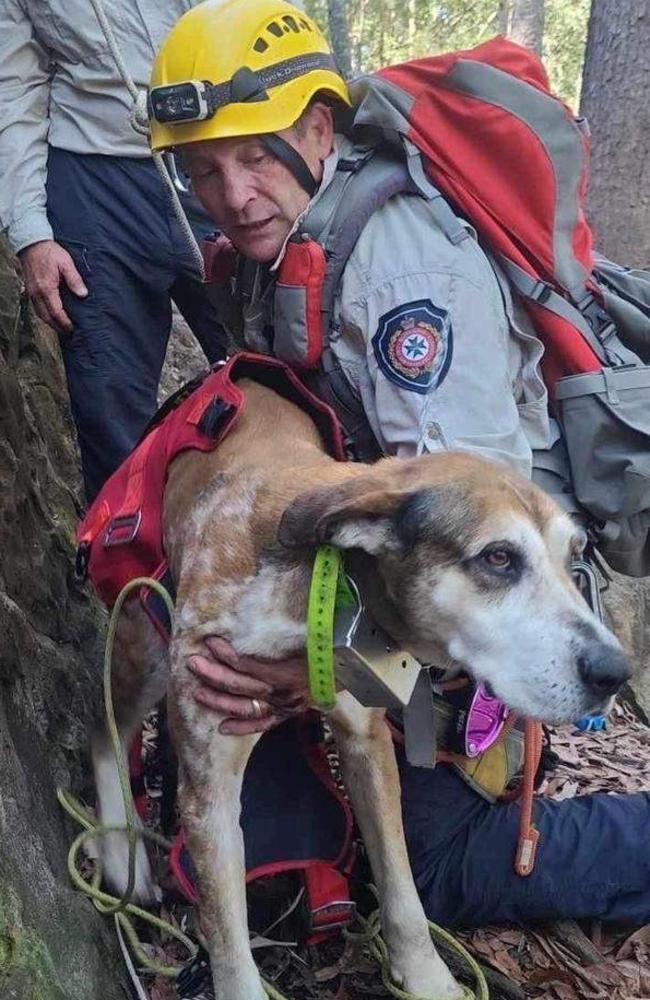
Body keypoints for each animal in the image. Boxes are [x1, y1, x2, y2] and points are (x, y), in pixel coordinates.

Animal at [91, 376, 628, 1000]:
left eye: (573, 559)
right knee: (104, 730)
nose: (616, 673)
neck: (322, 581)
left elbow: (402, 886)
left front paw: (427, 978)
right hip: (145, 638)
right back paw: (121, 854)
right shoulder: (210, 788)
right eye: (498, 557)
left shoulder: (367, 742)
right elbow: (228, 944)